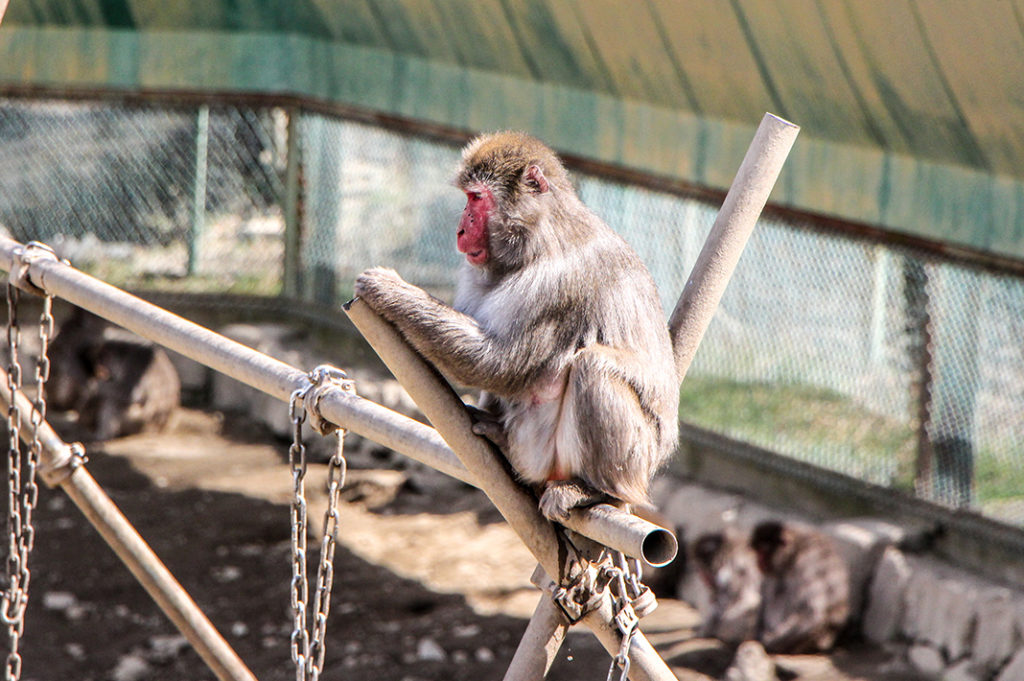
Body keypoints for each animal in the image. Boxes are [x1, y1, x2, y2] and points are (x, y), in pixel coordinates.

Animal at [352, 129, 679, 520]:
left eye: (476, 198)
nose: (460, 230)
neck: (538, 239)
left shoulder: (557, 284)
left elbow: (498, 363)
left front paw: (386, 289)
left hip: (622, 458)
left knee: (594, 364)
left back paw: (596, 491)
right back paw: (500, 436)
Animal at [749, 520, 851, 655]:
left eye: (762, 552)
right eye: (757, 552)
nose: (758, 562)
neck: (794, 551)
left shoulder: (807, 561)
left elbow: (811, 613)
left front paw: (766, 642)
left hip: (816, 638)